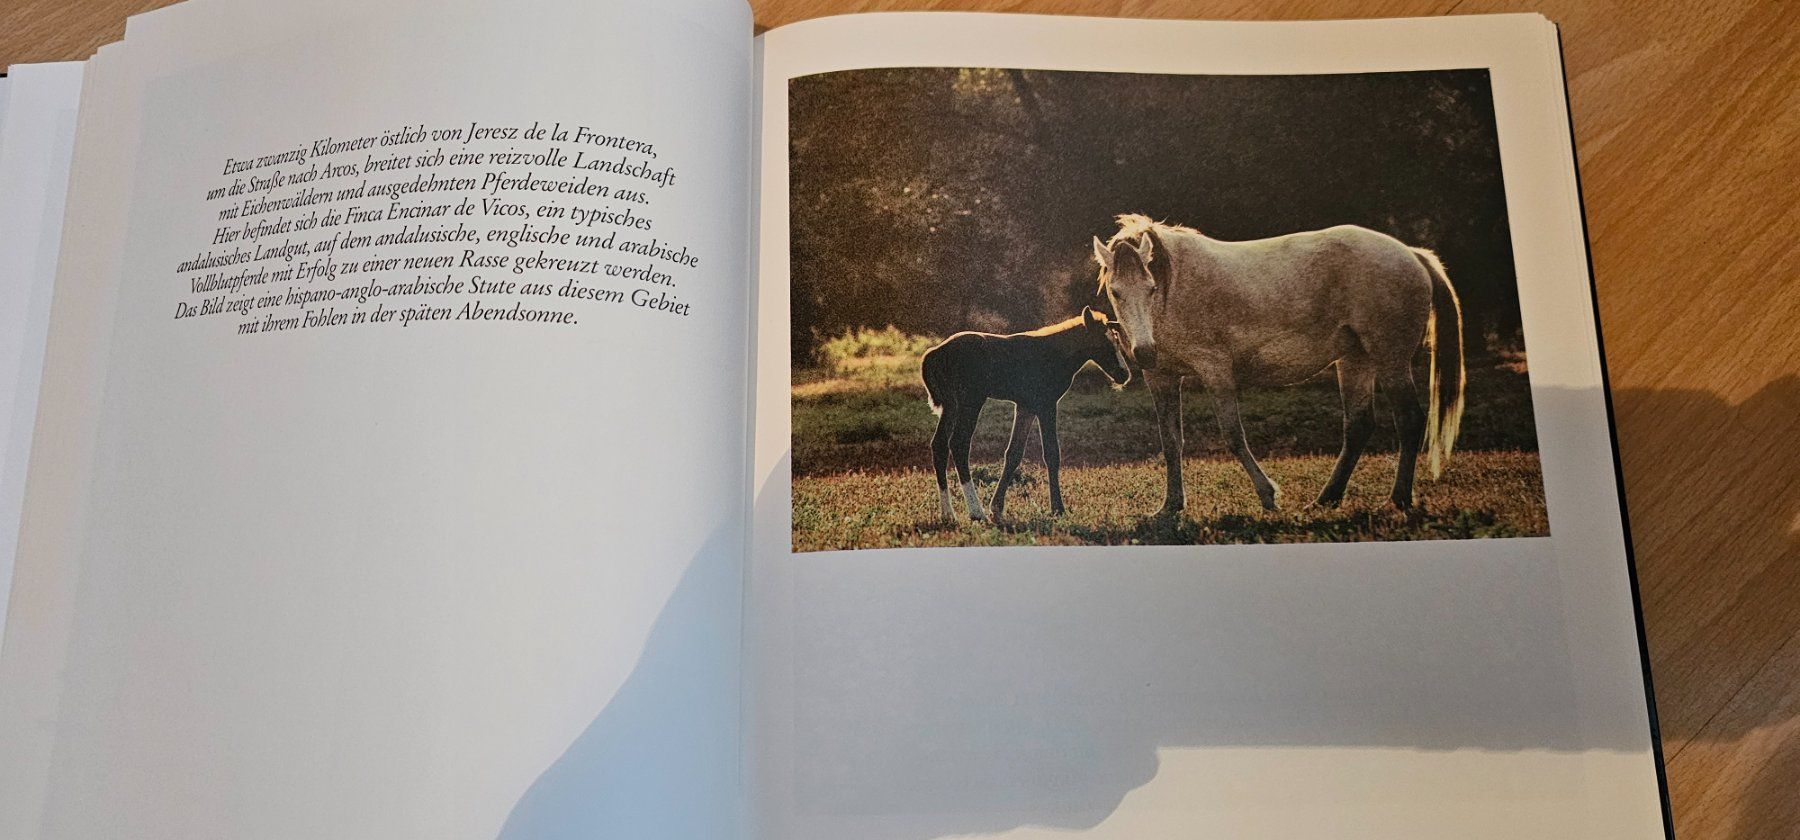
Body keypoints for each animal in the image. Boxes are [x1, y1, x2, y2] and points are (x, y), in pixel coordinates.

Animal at [921, 307, 1132, 522]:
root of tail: (936, 352)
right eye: (1103, 342)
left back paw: (948, 514)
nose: (1124, 374)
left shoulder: (1025, 407)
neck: (1052, 353)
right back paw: (976, 512)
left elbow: (1014, 453)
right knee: (959, 444)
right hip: (970, 402)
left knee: (939, 445)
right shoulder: (1046, 405)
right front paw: (1058, 509)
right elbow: (1052, 454)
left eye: (1116, 341)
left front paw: (997, 508)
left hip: (951, 406)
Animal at [1092, 213, 1464, 513]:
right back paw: (1326, 499)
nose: (1144, 352)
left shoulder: (1216, 371)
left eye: (1151, 288)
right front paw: (1170, 506)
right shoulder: (1162, 378)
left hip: (1391, 361)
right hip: (1355, 360)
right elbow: (1171, 442)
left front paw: (1267, 495)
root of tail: (1413, 255)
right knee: (1358, 426)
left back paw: (1398, 499)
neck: (1174, 290)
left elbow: (1233, 436)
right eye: (1116, 292)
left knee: (1409, 420)